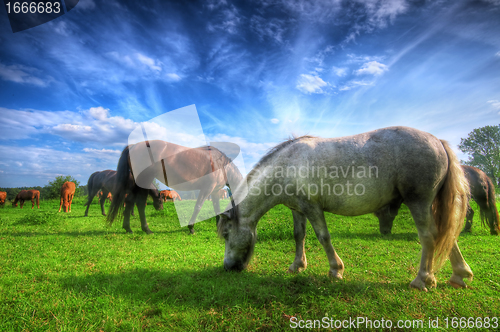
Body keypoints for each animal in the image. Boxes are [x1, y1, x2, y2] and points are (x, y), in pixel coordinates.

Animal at [108, 140, 244, 233]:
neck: (221, 164)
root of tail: (133, 146)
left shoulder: (215, 191)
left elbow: (217, 209)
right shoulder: (207, 189)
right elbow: (198, 207)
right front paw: (191, 228)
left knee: (130, 201)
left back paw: (128, 228)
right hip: (144, 180)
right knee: (140, 204)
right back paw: (146, 229)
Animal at [219, 126, 472, 290]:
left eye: (225, 234)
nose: (227, 268)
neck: (288, 165)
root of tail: (438, 141)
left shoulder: (312, 207)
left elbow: (323, 237)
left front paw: (335, 270)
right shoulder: (298, 209)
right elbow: (299, 235)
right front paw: (297, 265)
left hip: (418, 202)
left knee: (429, 237)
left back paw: (422, 280)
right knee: (446, 236)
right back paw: (459, 275)